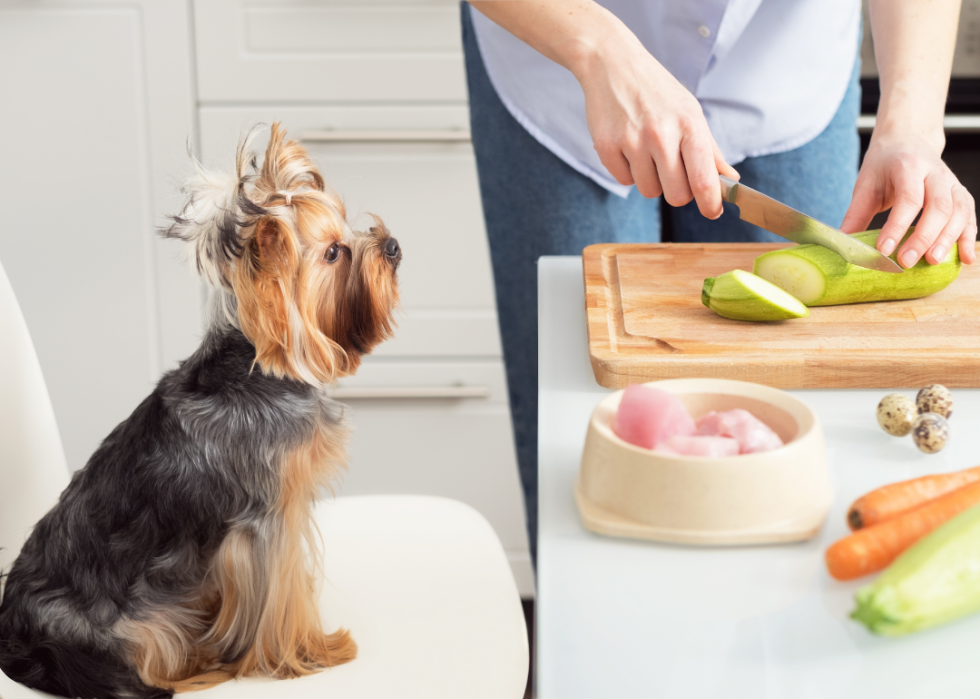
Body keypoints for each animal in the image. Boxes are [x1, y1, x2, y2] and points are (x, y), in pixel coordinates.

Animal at [0, 123, 402, 696]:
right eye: (333, 253)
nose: (392, 245)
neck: (257, 365)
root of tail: (18, 636)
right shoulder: (269, 518)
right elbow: (283, 596)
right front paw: (311, 653)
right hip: (135, 628)